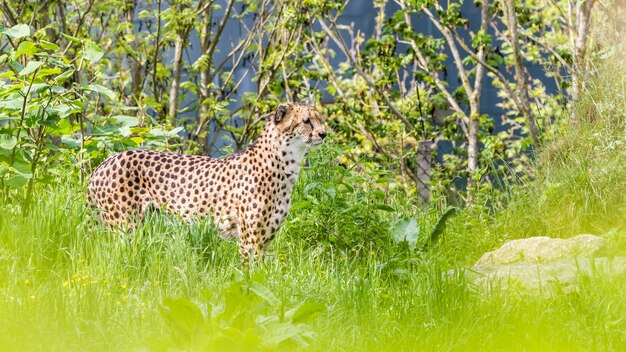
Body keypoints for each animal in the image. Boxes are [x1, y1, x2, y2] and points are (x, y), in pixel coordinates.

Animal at [89, 102, 330, 258]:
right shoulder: (249, 240)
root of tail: (105, 162)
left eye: (320, 120)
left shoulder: (264, 240)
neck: (286, 163)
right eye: (306, 121)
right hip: (124, 228)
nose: (324, 133)